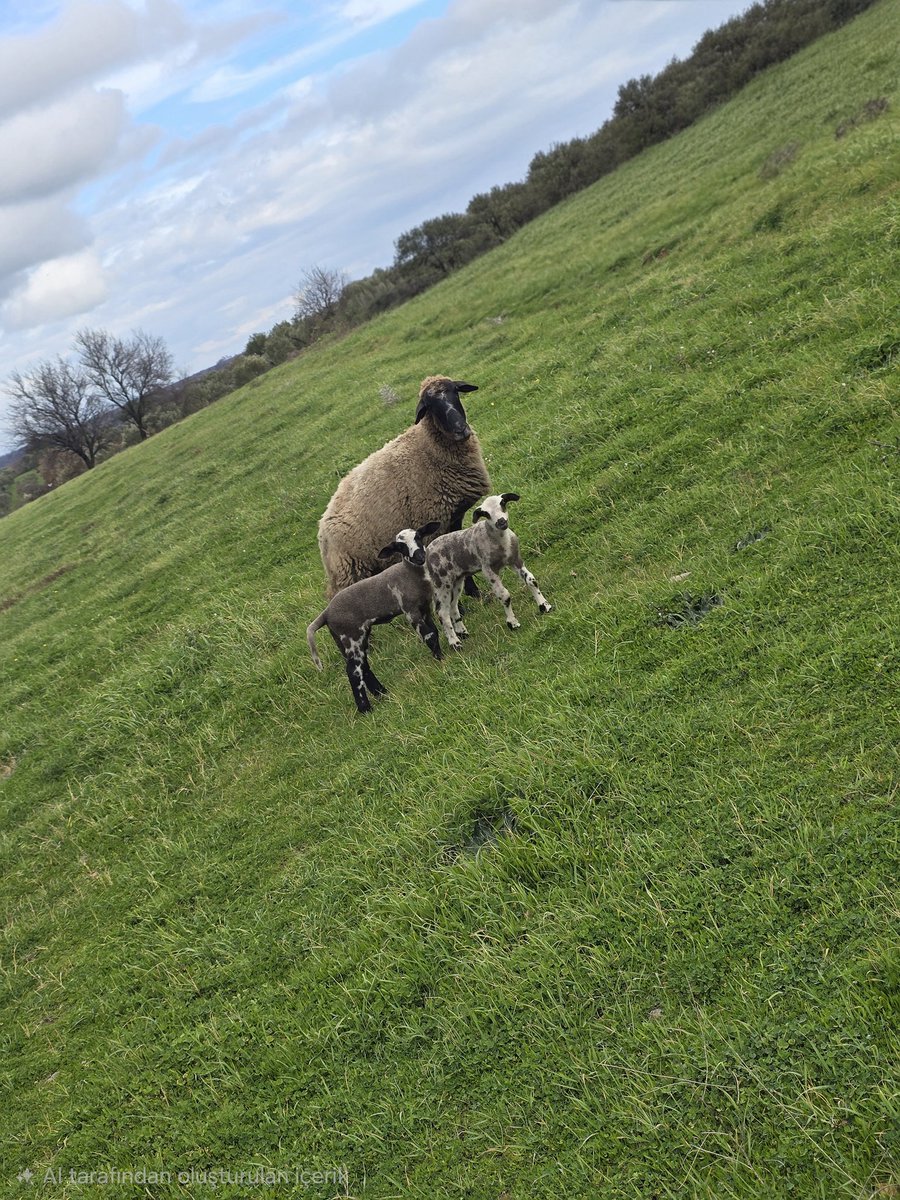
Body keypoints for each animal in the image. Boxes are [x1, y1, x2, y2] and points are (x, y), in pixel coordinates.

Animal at [307, 522, 442, 713]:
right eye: (400, 547)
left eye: (418, 536)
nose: (420, 556)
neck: (409, 574)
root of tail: (325, 613)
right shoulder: (410, 610)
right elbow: (428, 635)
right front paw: (440, 659)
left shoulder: (424, 608)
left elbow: (434, 631)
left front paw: (439, 655)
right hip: (350, 636)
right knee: (353, 671)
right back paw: (365, 708)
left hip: (348, 638)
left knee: (363, 666)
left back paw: (381, 693)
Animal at [317, 375, 491, 598]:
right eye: (430, 406)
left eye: (455, 391)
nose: (461, 429)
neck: (427, 448)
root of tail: (322, 527)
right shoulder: (432, 523)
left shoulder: (452, 517)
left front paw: (473, 592)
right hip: (349, 571)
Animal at [425, 493, 552, 649]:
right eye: (486, 514)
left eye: (502, 503)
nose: (501, 522)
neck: (500, 541)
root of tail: (428, 550)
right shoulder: (488, 569)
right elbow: (504, 595)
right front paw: (512, 623)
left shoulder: (516, 560)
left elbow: (531, 581)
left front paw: (545, 606)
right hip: (441, 581)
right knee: (442, 612)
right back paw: (455, 643)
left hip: (457, 579)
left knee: (452, 606)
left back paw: (462, 633)